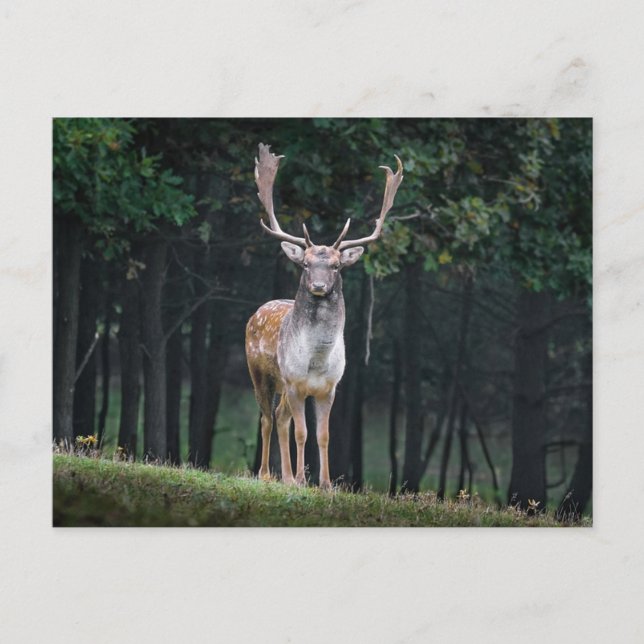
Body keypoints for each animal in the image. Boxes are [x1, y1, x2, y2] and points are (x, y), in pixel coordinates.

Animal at [246, 143, 403, 489]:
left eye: (335, 265)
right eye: (305, 264)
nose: (318, 286)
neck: (316, 360)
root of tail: (257, 312)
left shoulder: (329, 388)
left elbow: (323, 435)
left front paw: (326, 483)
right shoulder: (295, 382)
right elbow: (302, 433)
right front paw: (302, 479)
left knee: (280, 417)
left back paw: (285, 476)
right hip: (260, 373)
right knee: (266, 417)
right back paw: (267, 474)